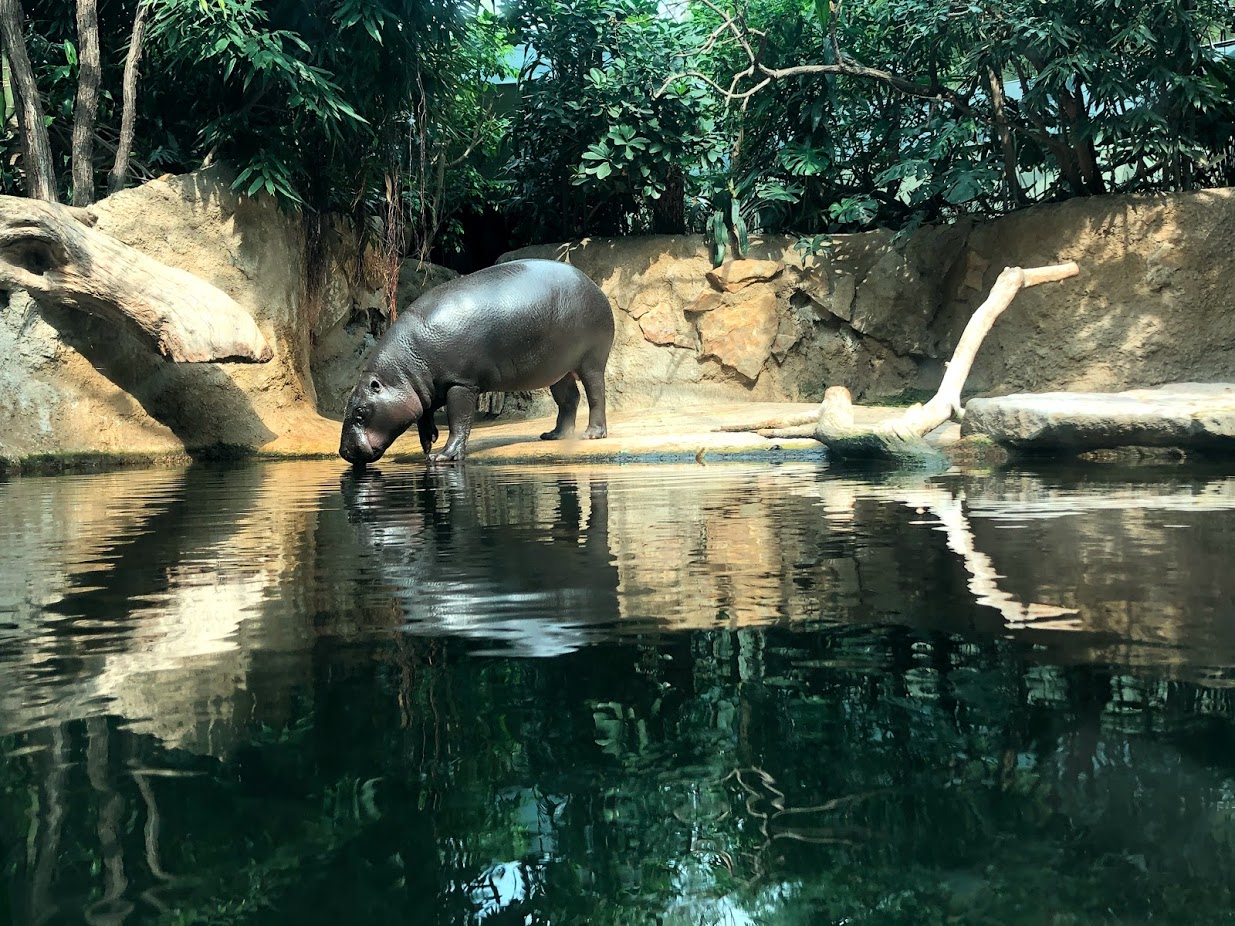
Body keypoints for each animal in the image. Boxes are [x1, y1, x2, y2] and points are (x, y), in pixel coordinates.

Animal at [339, 259, 614, 466]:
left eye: (360, 413)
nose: (343, 452)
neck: (401, 373)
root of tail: (592, 284)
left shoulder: (460, 383)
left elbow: (458, 421)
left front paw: (443, 456)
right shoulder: (424, 389)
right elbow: (424, 415)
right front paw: (428, 445)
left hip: (591, 360)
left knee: (596, 393)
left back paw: (592, 434)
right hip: (558, 369)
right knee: (569, 399)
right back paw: (554, 435)